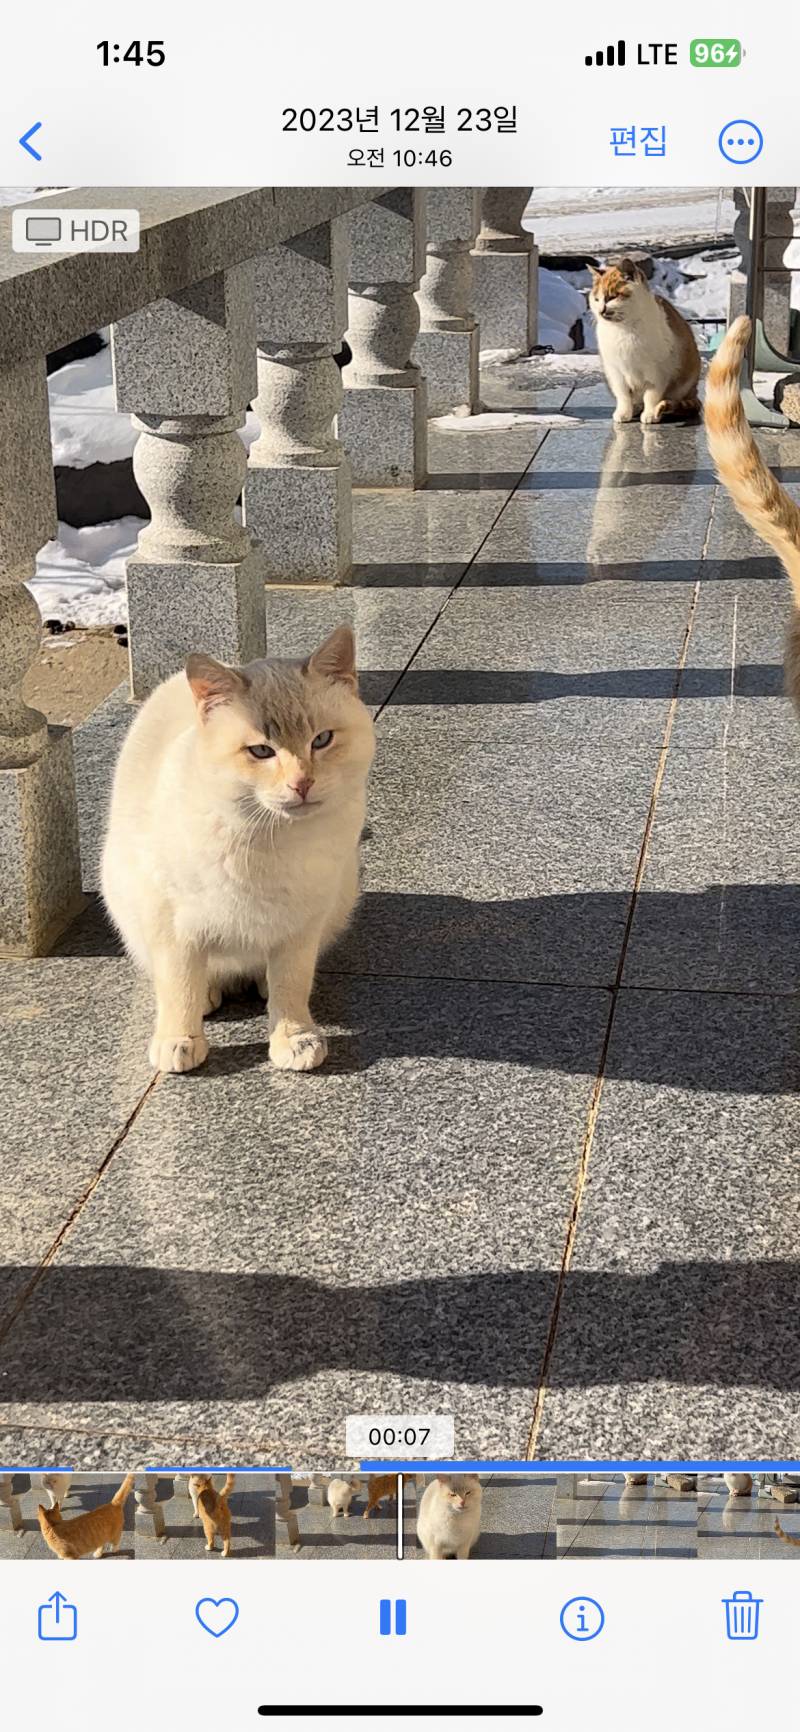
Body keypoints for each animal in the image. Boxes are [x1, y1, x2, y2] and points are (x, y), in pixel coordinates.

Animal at [101, 630, 374, 1073]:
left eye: (322, 740)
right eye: (261, 752)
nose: (302, 783)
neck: (269, 837)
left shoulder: (301, 922)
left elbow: (291, 983)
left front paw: (294, 1038)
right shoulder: (173, 923)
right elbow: (179, 984)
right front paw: (180, 1039)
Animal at [588, 259, 699, 429]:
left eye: (612, 297)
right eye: (596, 299)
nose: (601, 310)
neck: (624, 330)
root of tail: (694, 391)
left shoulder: (657, 373)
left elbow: (651, 397)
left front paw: (650, 414)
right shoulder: (615, 372)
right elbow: (623, 395)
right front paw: (623, 413)